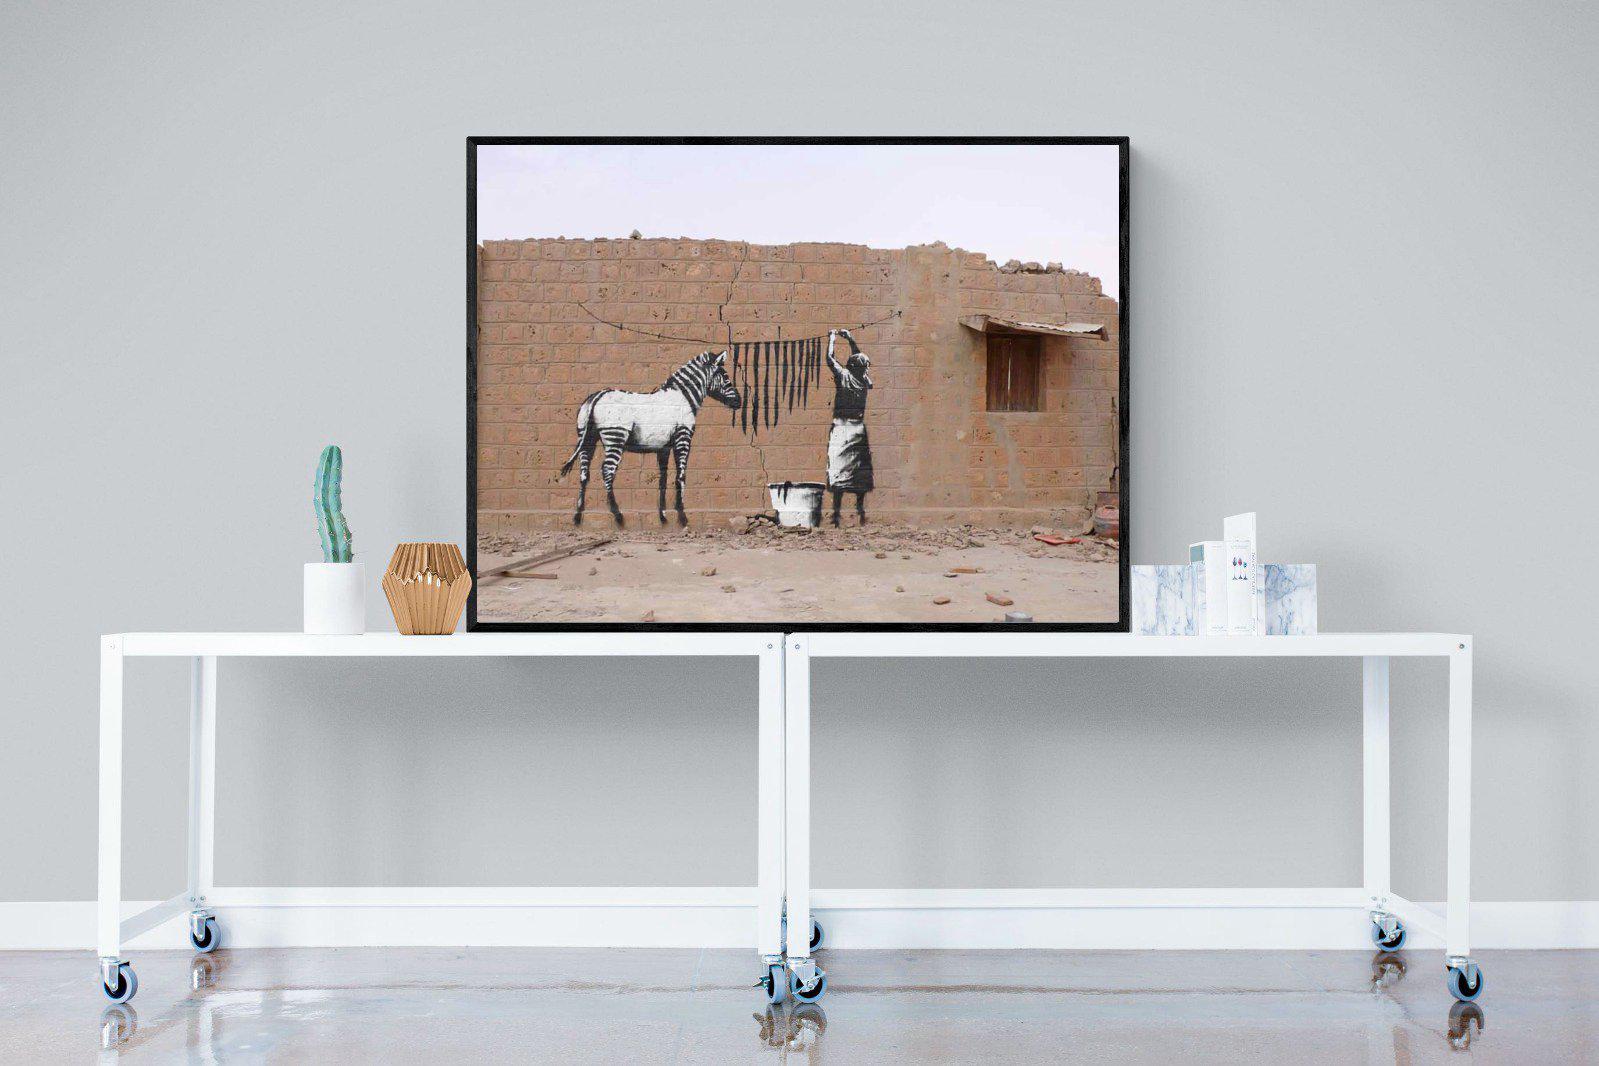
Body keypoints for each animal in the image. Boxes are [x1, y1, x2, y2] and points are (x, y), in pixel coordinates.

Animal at [558, 350, 740, 526]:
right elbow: (680, 476)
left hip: (586, 438)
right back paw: (617, 515)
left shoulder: (664, 447)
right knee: (607, 471)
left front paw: (663, 516)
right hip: (615, 436)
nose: (739, 402)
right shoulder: (683, 438)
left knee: (584, 472)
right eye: (725, 377)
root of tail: (598, 395)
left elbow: (663, 479)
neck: (683, 398)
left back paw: (577, 515)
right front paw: (682, 515)